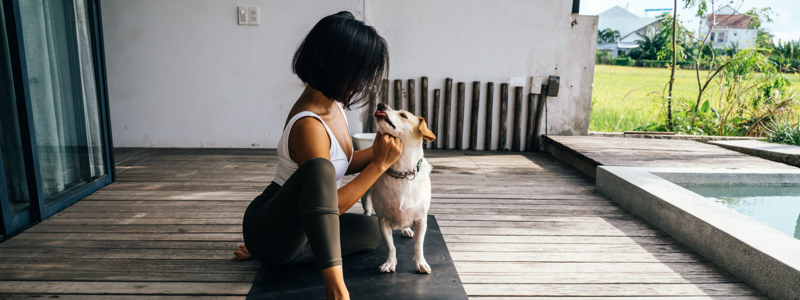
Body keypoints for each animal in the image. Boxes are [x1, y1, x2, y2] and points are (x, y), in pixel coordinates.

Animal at [364, 102, 438, 274]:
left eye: (403, 115)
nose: (380, 104)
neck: (401, 173)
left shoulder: (421, 220)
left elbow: (418, 245)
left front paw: (420, 263)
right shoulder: (383, 222)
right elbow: (390, 246)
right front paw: (390, 263)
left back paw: (406, 230)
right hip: (366, 198)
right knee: (367, 209)